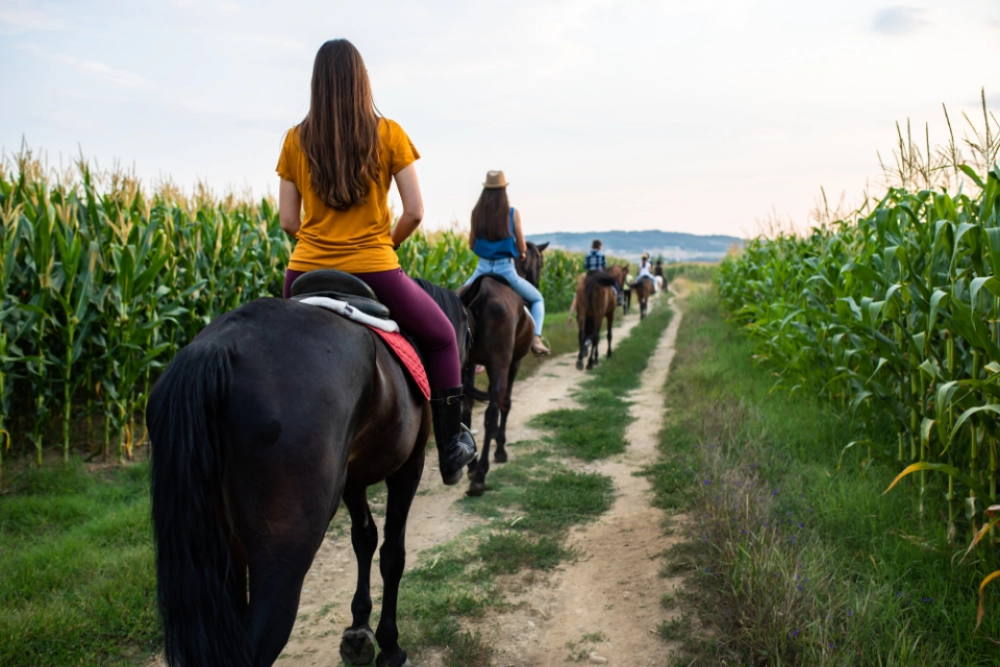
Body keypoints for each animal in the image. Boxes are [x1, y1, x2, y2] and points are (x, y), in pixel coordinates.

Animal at [146, 276, 466, 667]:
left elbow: (364, 539)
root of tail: (216, 348)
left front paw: (359, 628)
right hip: (284, 550)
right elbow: (392, 554)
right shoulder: (409, 466)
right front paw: (390, 645)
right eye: (469, 331)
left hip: (222, 547)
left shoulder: (353, 478)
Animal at [458, 240, 548, 496]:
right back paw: (480, 475)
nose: (537, 282)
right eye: (541, 262)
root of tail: (481, 293)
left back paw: (472, 466)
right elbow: (505, 403)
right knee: (491, 411)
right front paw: (500, 448)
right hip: (501, 362)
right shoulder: (511, 362)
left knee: (467, 408)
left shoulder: (477, 363)